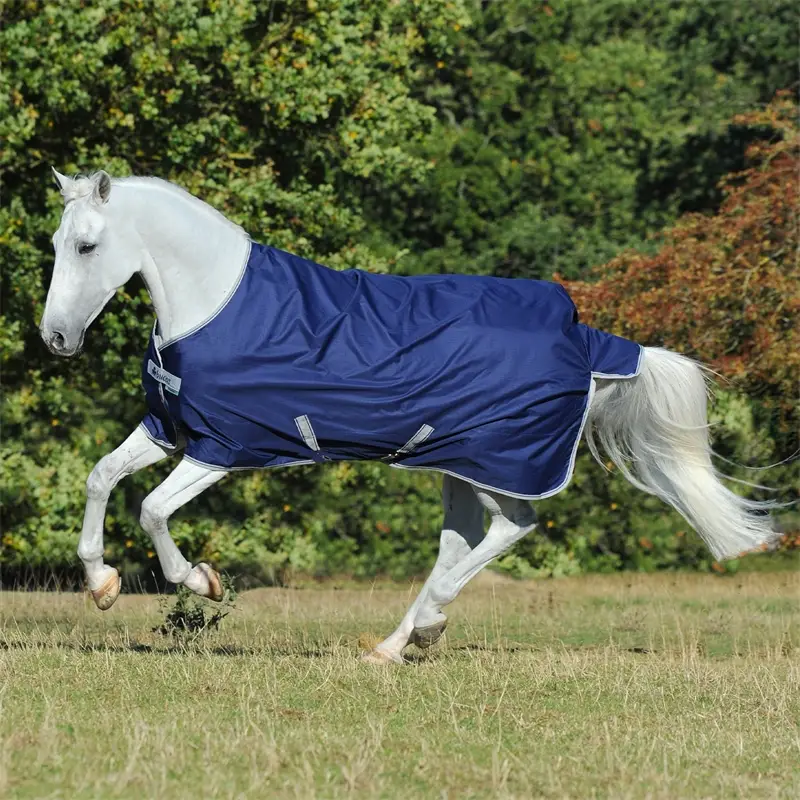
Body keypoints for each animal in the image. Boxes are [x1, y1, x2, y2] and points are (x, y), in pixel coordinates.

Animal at [40, 169, 776, 664]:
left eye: (86, 247)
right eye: (55, 241)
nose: (56, 338)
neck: (214, 304)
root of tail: (585, 338)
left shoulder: (222, 446)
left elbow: (152, 511)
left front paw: (204, 581)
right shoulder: (169, 430)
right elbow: (101, 477)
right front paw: (102, 585)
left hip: (498, 463)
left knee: (513, 528)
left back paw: (424, 626)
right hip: (461, 466)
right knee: (462, 542)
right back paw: (399, 642)